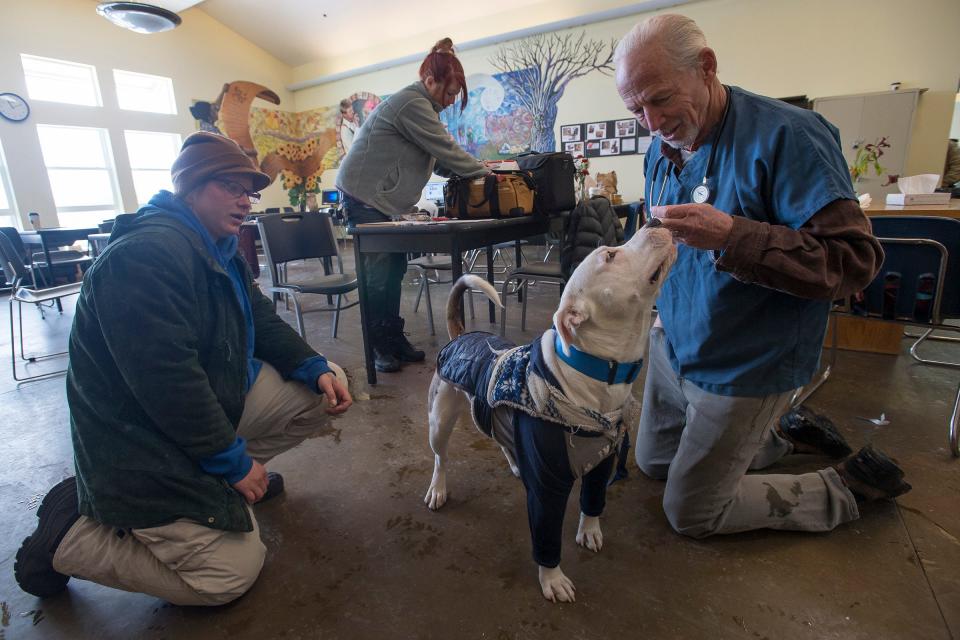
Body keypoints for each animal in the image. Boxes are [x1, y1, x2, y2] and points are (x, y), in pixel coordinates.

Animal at [420, 222, 676, 604]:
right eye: (609, 255)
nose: (656, 222)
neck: (593, 376)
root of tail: (460, 336)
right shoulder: (547, 489)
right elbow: (546, 536)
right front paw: (552, 578)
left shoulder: (601, 466)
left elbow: (592, 501)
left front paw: (590, 530)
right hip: (439, 420)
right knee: (440, 457)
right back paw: (438, 488)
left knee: (499, 436)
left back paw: (514, 462)